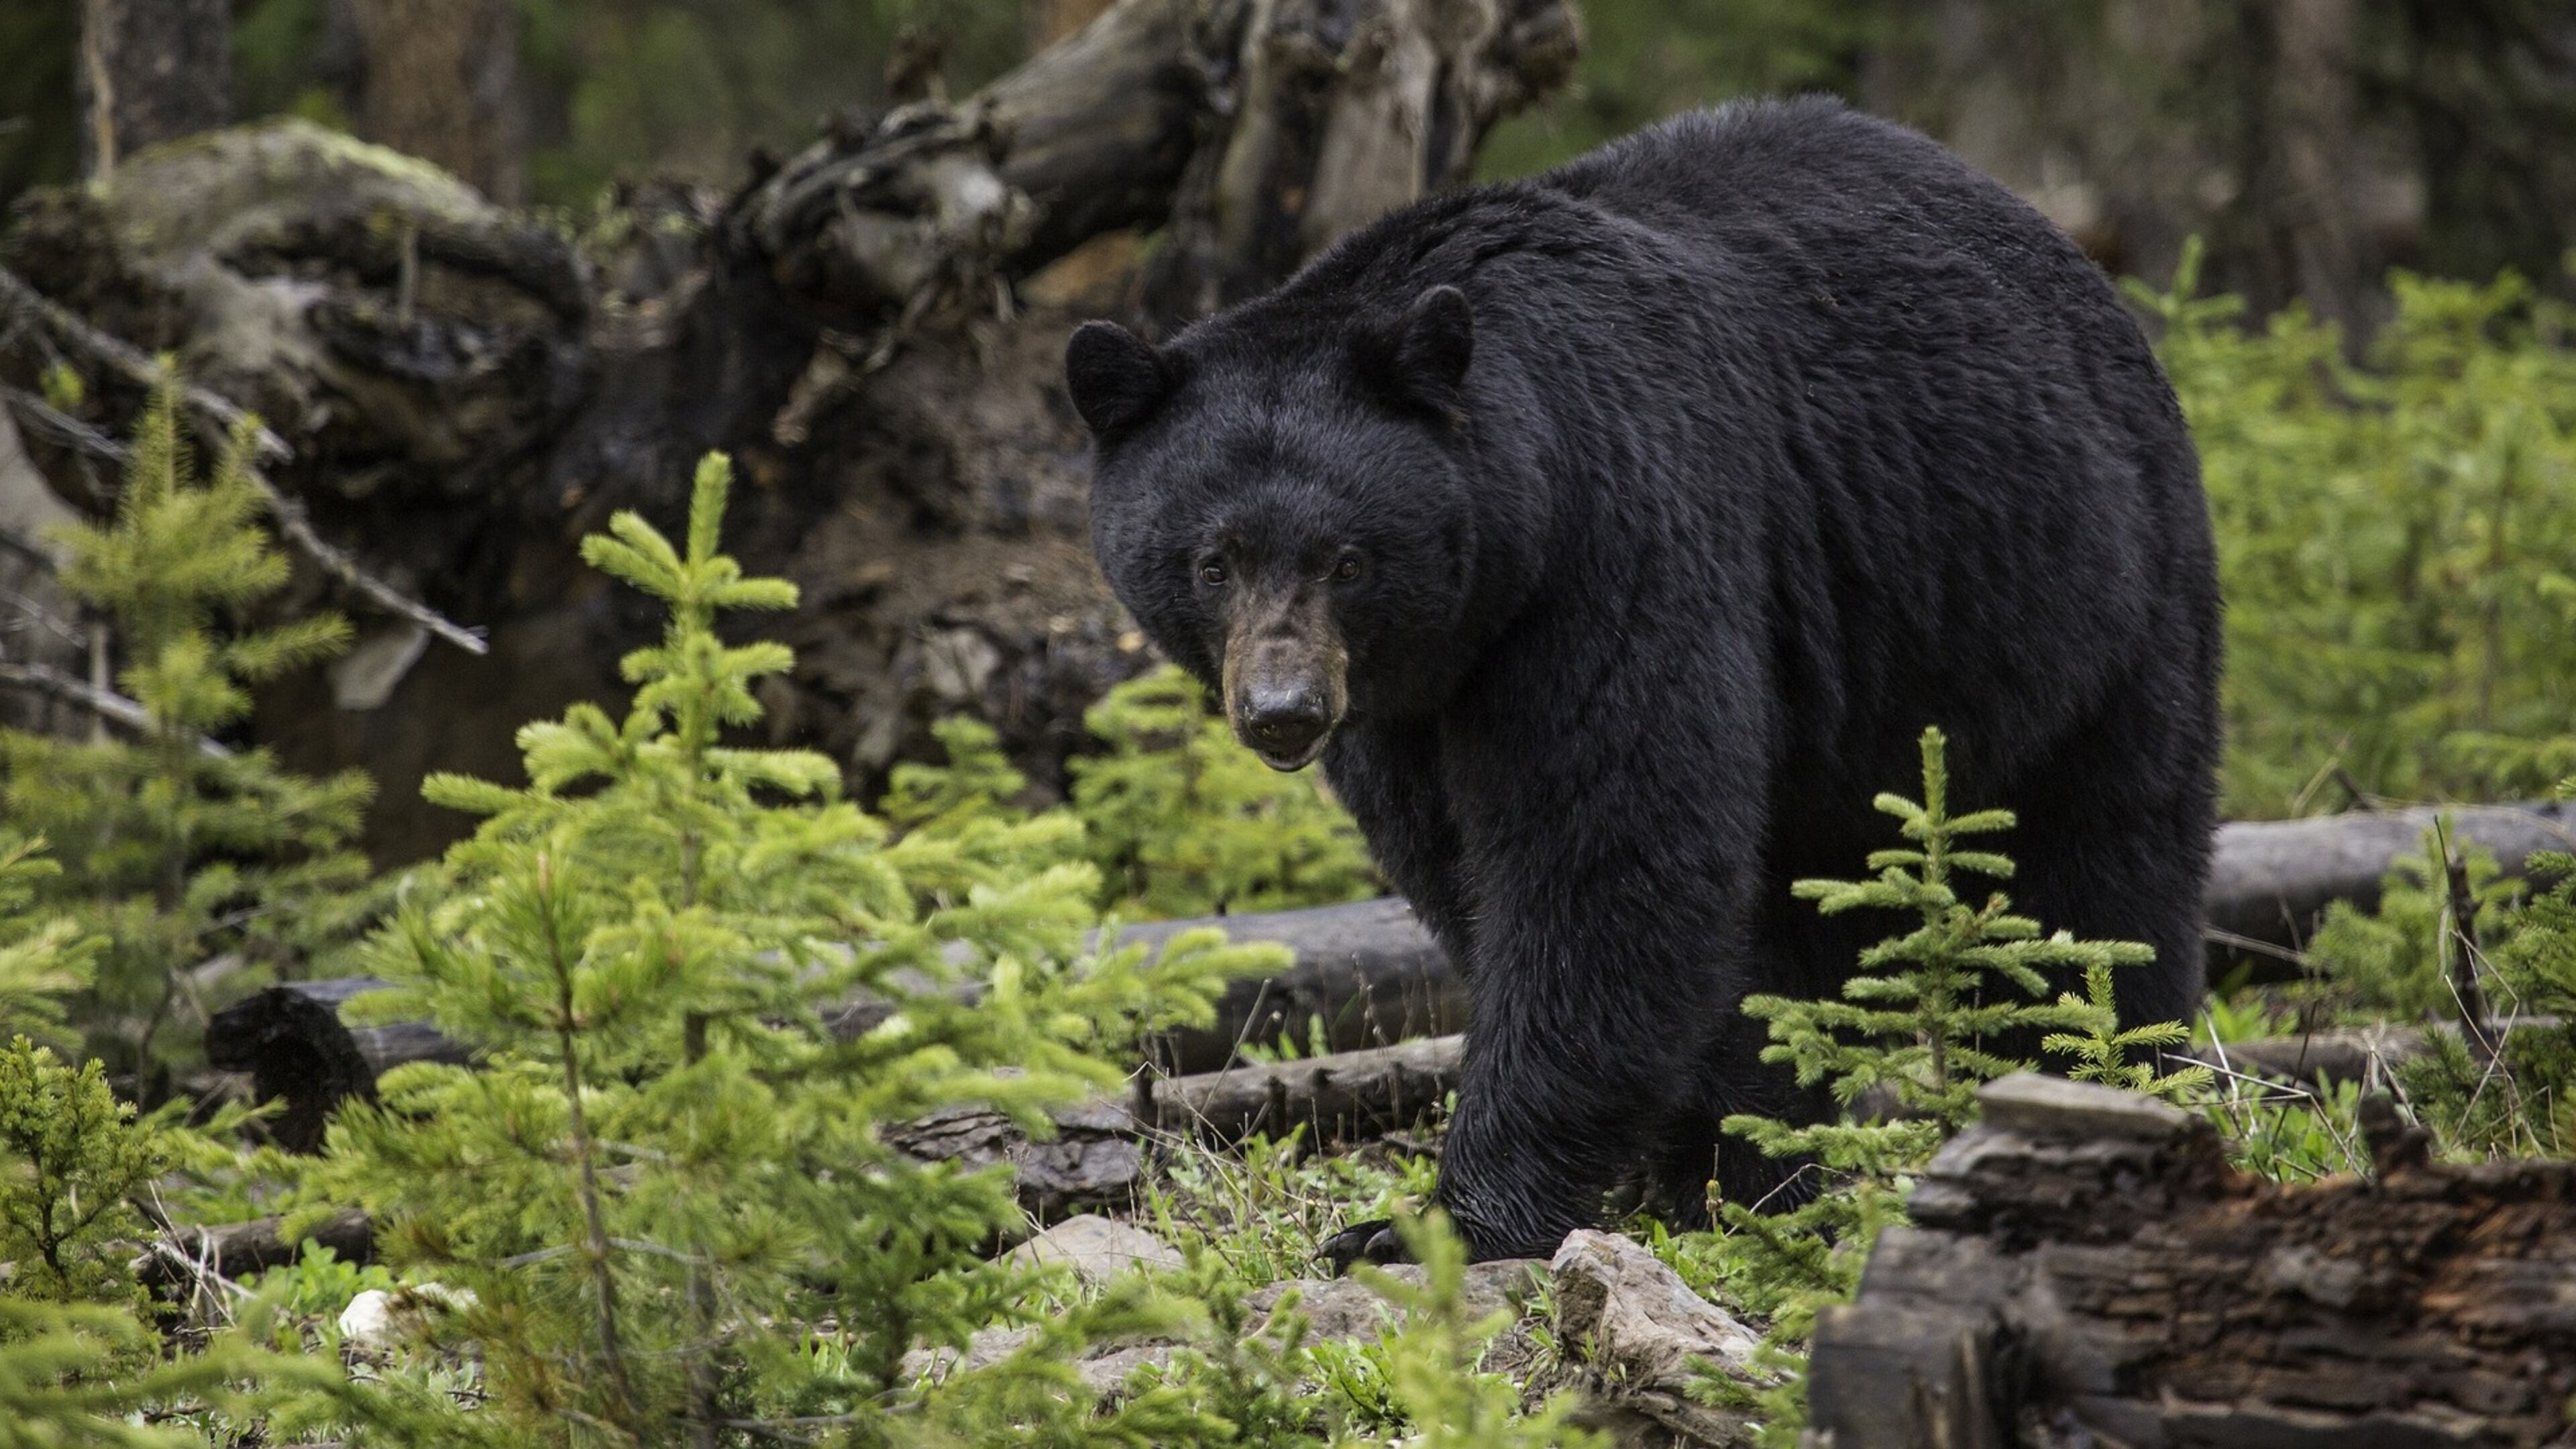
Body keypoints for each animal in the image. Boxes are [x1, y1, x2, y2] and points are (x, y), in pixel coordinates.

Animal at [1066, 96, 2220, 1267]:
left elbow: (1607, 853)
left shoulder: (1619, 538)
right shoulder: (1409, 702)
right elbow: (1466, 865)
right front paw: (1716, 1159)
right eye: (1213, 561)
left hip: (2085, 596)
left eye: (1348, 559)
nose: (1284, 713)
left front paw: (1443, 1221)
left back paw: (2095, 1077)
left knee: (2098, 869)